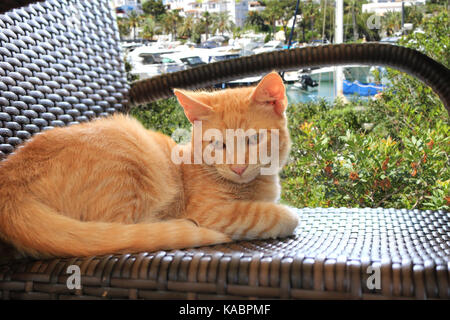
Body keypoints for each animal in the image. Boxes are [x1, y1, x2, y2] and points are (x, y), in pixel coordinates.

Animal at [0, 71, 298, 258]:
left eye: (253, 139)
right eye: (217, 144)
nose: (237, 168)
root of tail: (10, 179)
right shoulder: (212, 212)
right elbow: (272, 215)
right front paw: (285, 214)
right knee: (125, 232)